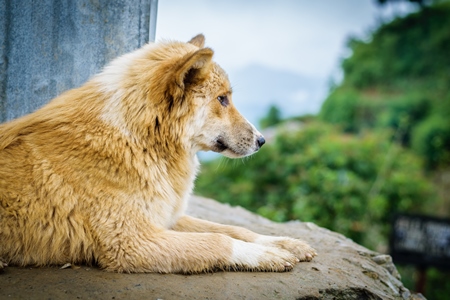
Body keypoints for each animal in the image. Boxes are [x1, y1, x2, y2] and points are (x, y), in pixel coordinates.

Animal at [0, 34, 316, 274]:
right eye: (222, 99)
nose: (262, 140)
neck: (139, 140)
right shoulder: (132, 242)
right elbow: (217, 240)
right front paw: (267, 255)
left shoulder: (166, 218)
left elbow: (233, 229)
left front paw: (283, 243)